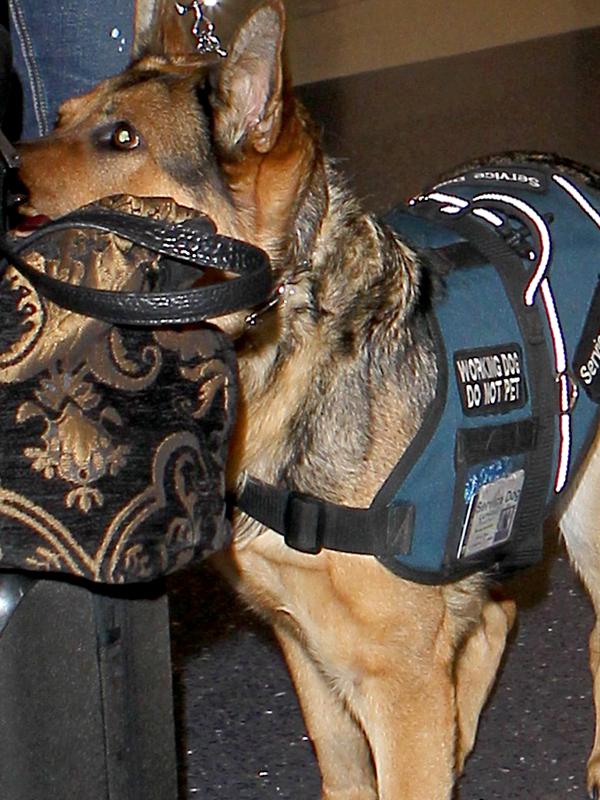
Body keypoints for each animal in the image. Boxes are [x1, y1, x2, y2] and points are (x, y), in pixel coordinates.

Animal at [14, 1, 600, 800]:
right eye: (61, 117)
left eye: (123, 139)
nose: (5, 182)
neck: (283, 344)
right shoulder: (308, 647)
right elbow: (347, 772)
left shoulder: (401, 685)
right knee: (497, 616)